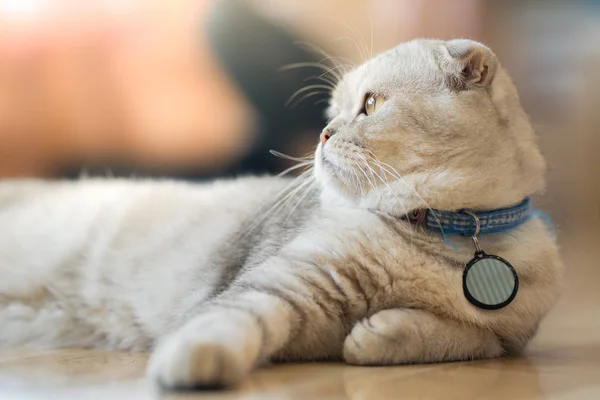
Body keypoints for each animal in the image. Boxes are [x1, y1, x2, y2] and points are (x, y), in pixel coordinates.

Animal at [0, 39, 564, 390]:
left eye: (371, 104)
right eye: (331, 112)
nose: (324, 134)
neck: (450, 232)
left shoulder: (507, 340)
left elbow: (463, 338)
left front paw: (378, 334)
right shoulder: (283, 284)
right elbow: (228, 322)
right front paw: (192, 363)